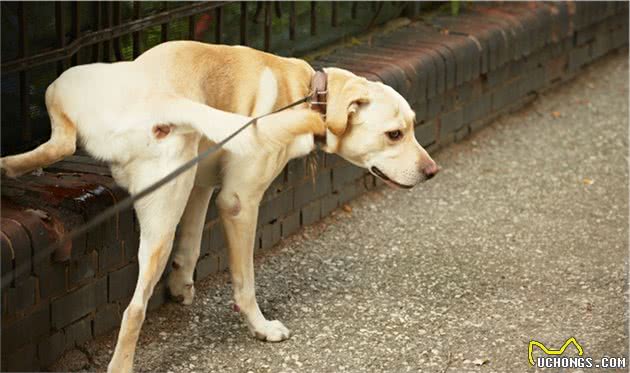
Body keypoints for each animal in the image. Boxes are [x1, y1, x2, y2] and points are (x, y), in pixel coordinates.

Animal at [0, 39, 440, 370]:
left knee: (60, 144)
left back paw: (11, 165)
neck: (307, 91)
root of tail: (159, 97)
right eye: (395, 134)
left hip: (69, 88)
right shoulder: (238, 203)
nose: (433, 171)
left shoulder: (199, 185)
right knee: (134, 310)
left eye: (413, 127)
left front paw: (181, 285)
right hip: (162, 211)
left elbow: (192, 245)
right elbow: (245, 282)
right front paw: (260, 327)